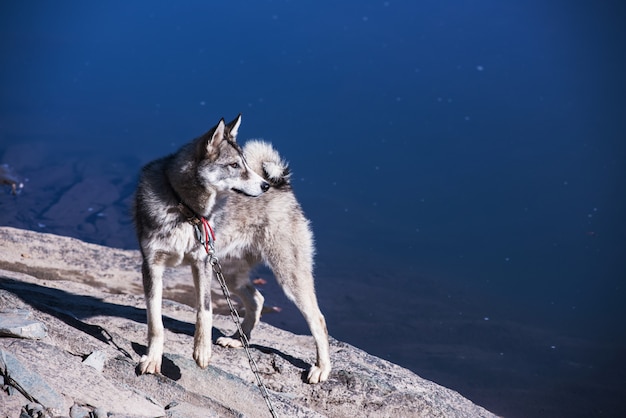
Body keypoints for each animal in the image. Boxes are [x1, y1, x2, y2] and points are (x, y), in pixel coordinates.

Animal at [133, 114, 332, 382]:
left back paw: (322, 368)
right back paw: (240, 339)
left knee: (318, 319)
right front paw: (153, 359)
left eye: (245, 164)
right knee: (257, 300)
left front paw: (202, 351)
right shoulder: (152, 266)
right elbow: (155, 322)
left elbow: (204, 311)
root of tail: (282, 185)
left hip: (288, 276)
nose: (264, 186)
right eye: (235, 165)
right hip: (228, 273)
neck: (184, 208)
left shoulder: (201, 264)